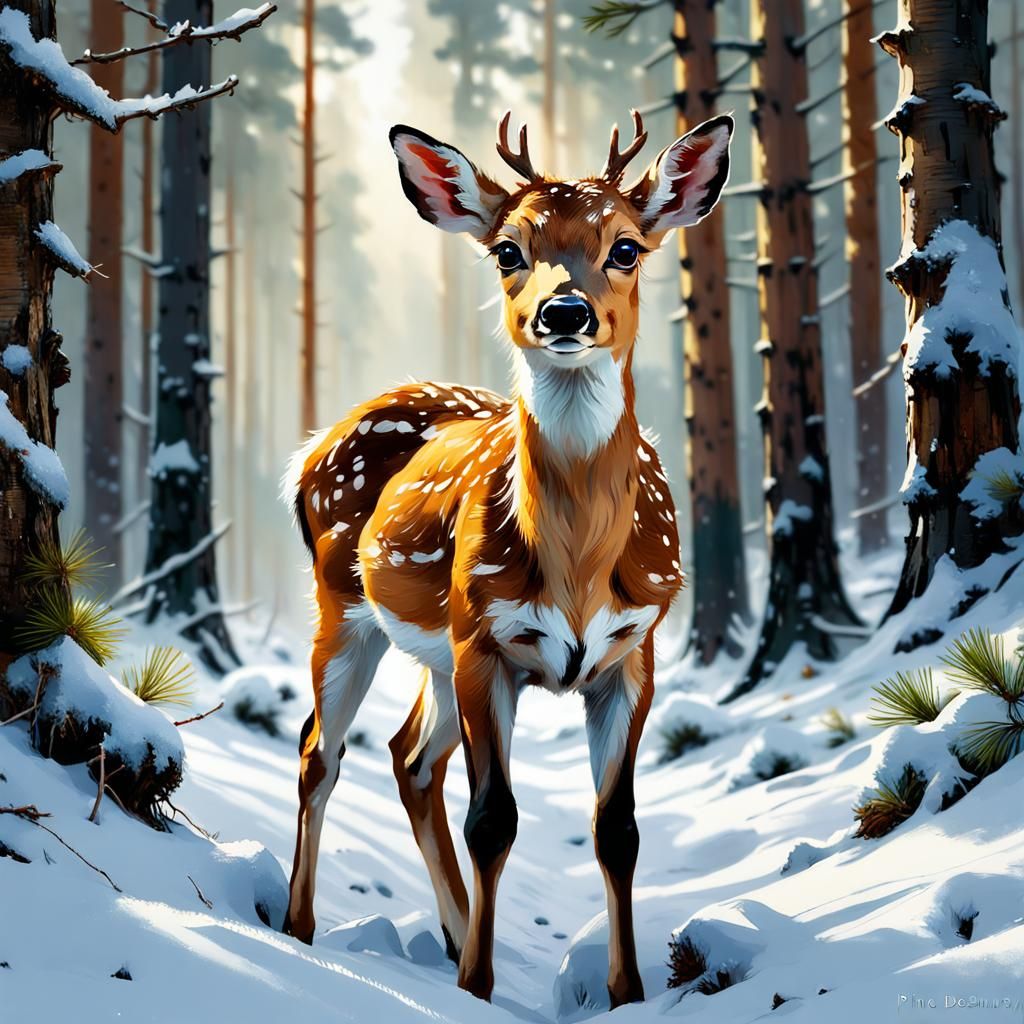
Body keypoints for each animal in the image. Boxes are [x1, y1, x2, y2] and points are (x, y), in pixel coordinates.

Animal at [282, 109, 733, 1008]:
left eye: (626, 247)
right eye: (506, 250)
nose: (565, 312)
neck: (578, 566)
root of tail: (313, 447)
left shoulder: (635, 652)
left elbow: (617, 828)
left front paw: (626, 991)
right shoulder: (485, 640)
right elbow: (494, 820)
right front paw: (479, 987)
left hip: (432, 649)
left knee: (409, 759)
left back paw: (452, 934)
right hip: (348, 608)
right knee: (322, 752)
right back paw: (301, 928)